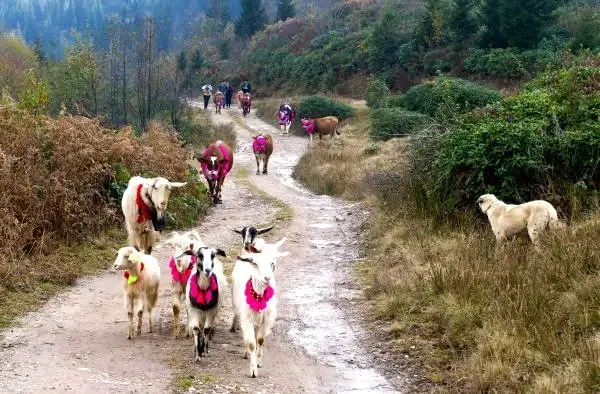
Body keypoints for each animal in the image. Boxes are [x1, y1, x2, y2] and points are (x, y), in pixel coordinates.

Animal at [230, 239, 288, 378]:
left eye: (272, 263)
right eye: (255, 263)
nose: (267, 278)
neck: (258, 296)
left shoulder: (266, 319)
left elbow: (260, 340)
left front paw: (258, 361)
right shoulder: (246, 318)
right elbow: (251, 343)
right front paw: (253, 370)